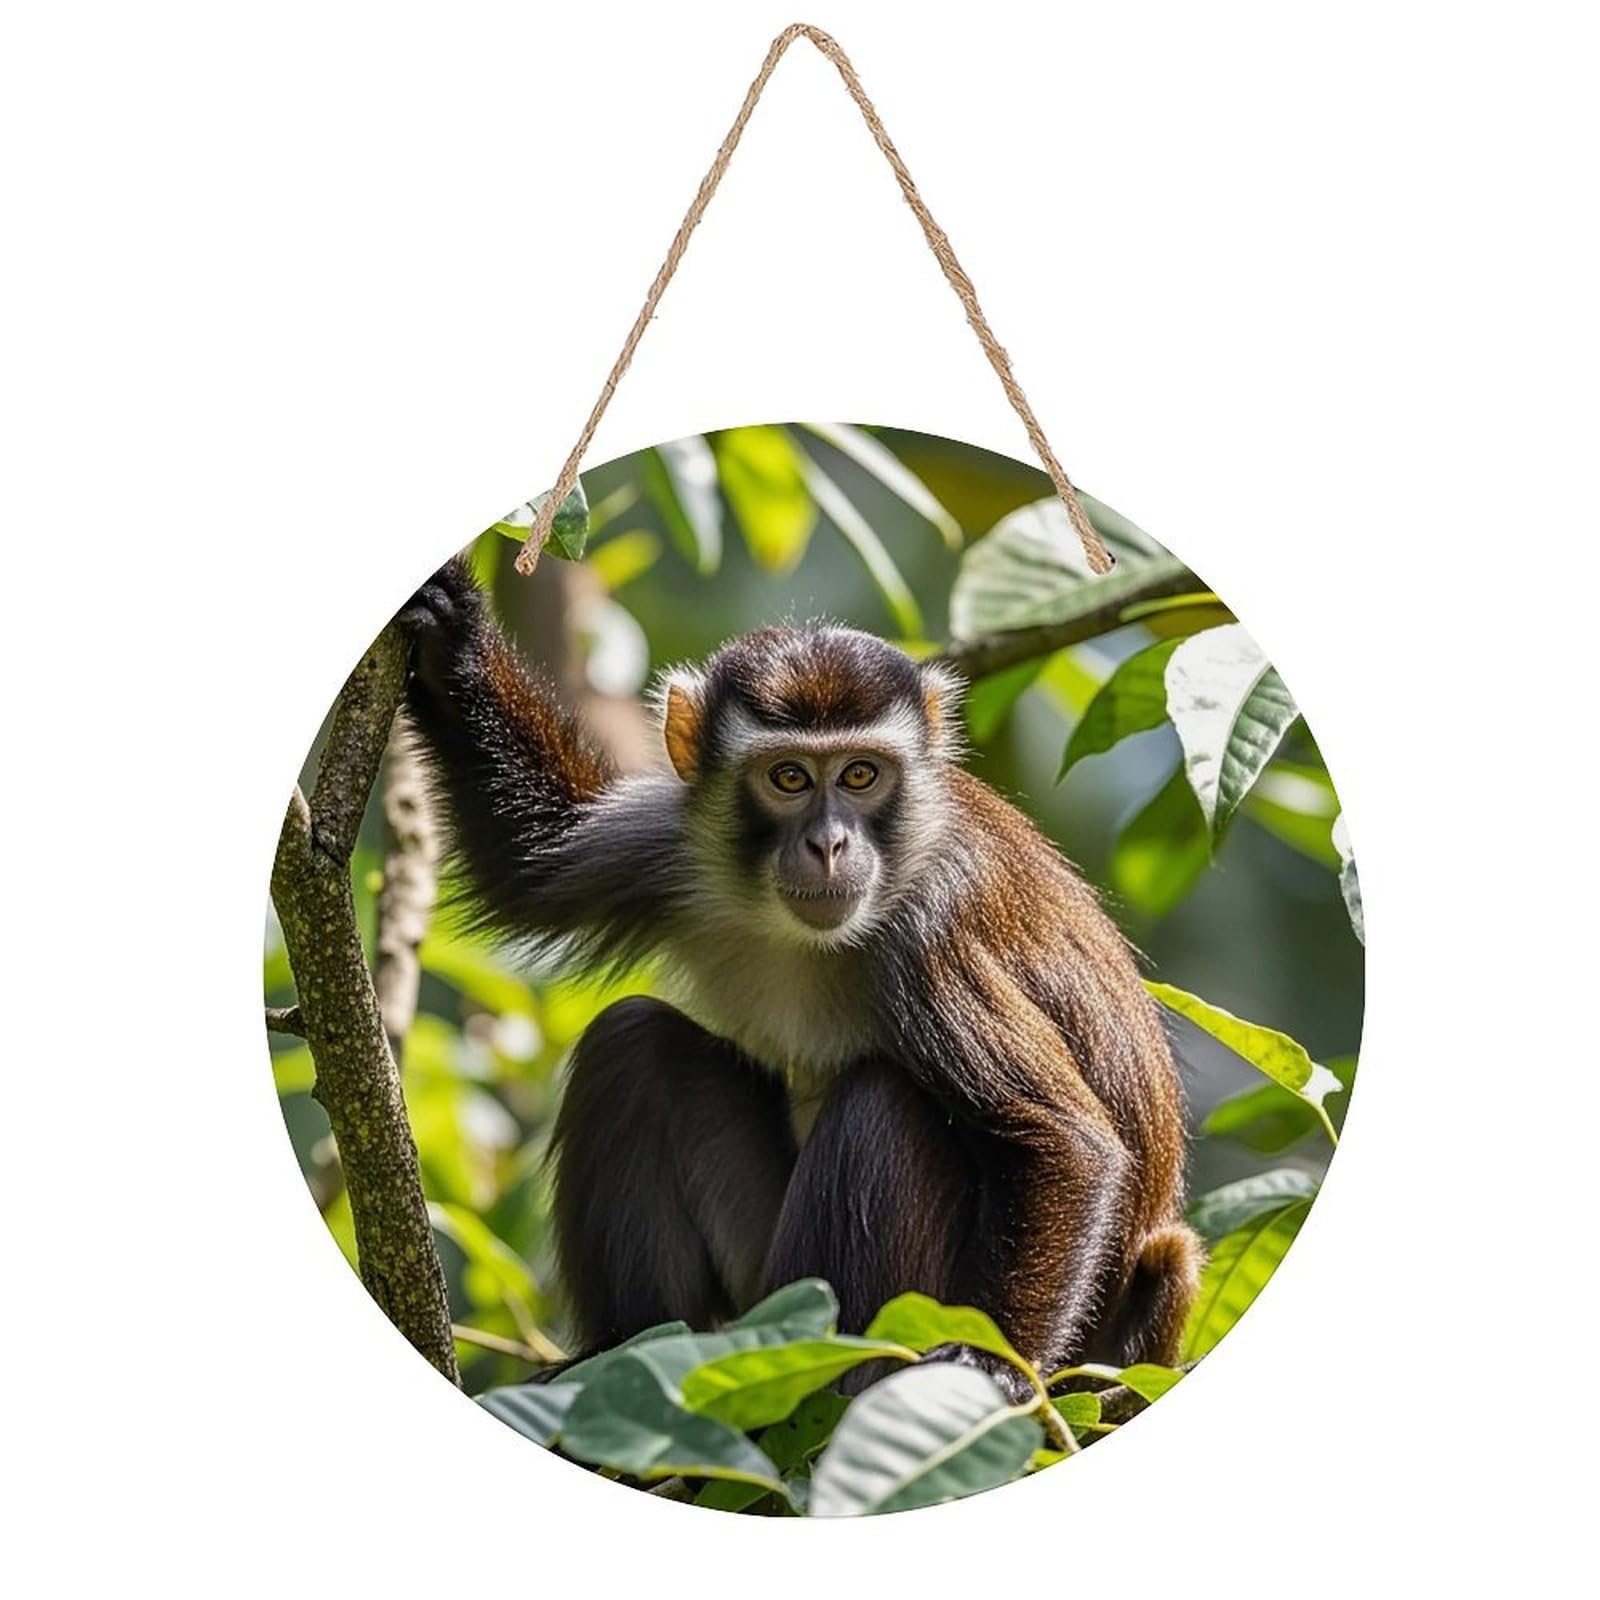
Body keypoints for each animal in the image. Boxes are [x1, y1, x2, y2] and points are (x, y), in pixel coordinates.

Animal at [396, 557, 1203, 1397]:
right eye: (788, 778)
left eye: (859, 775)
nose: (828, 845)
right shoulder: (677, 835)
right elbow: (534, 859)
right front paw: (452, 633)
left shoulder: (931, 930)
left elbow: (1065, 1144)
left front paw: (990, 1365)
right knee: (634, 1040)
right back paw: (627, 1346)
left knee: (882, 1103)